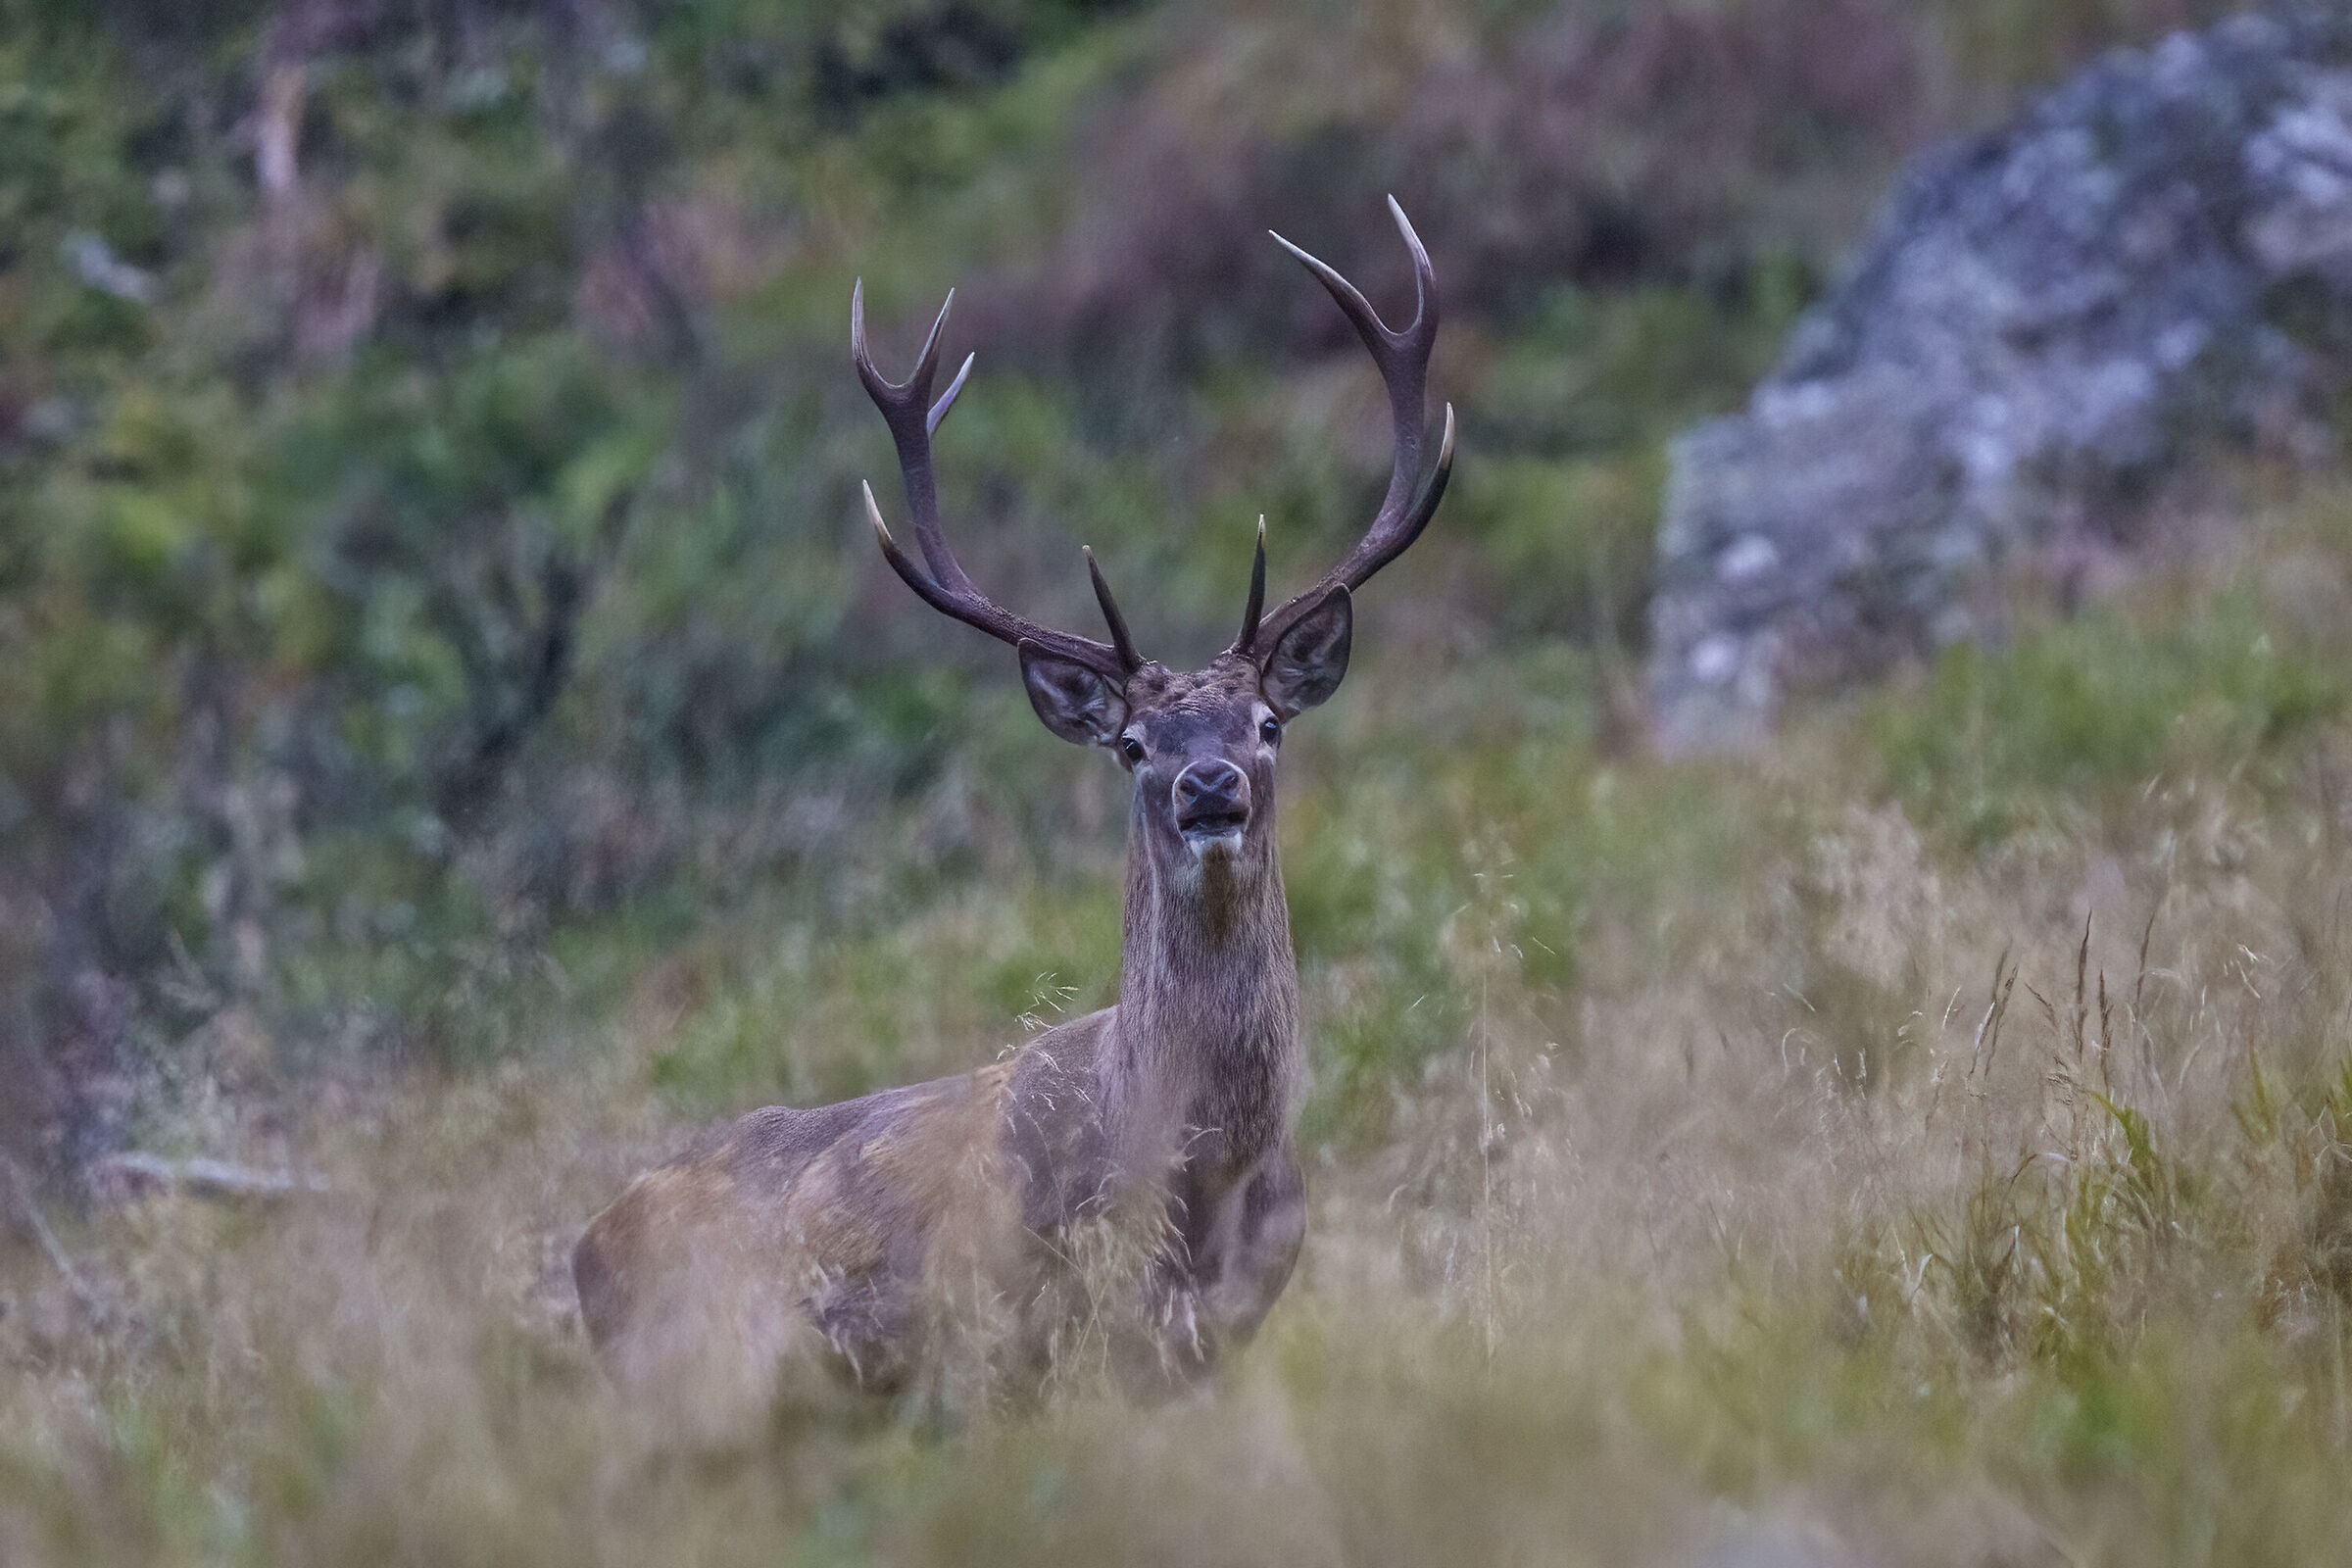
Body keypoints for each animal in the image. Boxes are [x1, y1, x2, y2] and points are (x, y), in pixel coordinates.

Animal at [573, 200, 1453, 1431]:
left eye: (1268, 722)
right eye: (1133, 744)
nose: (1209, 784)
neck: (1204, 1173)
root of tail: (581, 1251)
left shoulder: (1224, 1330)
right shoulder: (1036, 1334)